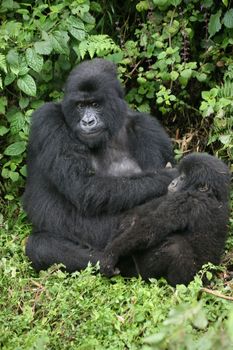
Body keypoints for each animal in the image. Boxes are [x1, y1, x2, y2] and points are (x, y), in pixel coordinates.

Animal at [22, 58, 174, 274]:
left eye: (95, 104)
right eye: (80, 106)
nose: (88, 121)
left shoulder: (148, 127)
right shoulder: (48, 119)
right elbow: (84, 186)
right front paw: (171, 176)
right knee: (39, 246)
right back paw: (105, 261)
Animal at [102, 154, 231, 286]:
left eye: (182, 178)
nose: (173, 182)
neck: (212, 196)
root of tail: (208, 280)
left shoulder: (187, 200)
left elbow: (150, 228)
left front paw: (111, 253)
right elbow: (144, 211)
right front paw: (126, 223)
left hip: (194, 277)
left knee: (175, 248)